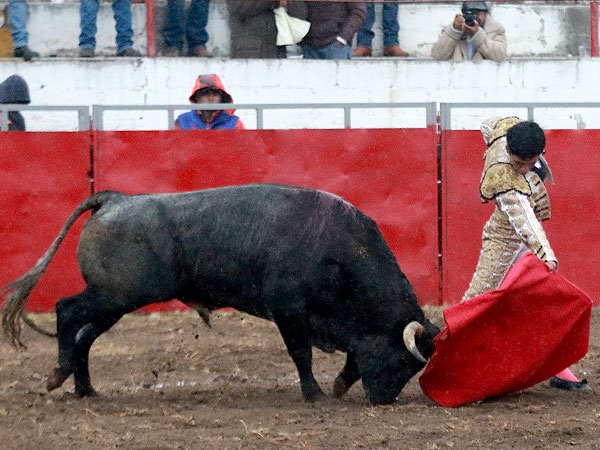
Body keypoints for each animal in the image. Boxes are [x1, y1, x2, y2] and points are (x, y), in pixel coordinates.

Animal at [2, 183, 438, 404]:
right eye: (402, 360)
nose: (383, 400)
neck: (340, 250)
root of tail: (115, 199)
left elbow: (350, 355)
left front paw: (338, 386)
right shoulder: (289, 310)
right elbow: (302, 353)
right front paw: (315, 393)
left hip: (115, 301)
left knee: (84, 335)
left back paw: (85, 389)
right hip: (115, 294)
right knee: (67, 311)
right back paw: (58, 375)